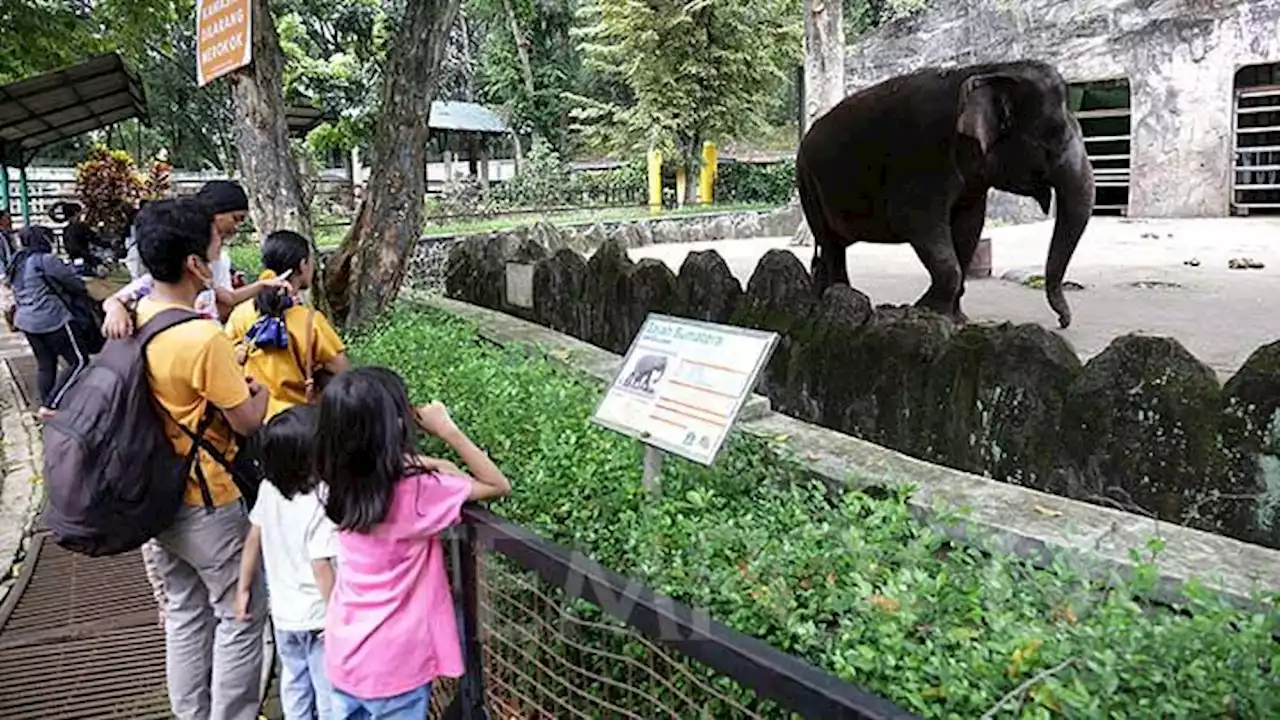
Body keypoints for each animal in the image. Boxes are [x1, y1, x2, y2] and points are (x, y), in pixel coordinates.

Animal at [793, 59, 1095, 327]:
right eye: (1050, 141)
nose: (1063, 321)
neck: (991, 69)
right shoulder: (922, 157)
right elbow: (914, 220)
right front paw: (922, 310)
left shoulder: (971, 182)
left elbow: (969, 227)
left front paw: (956, 319)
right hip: (807, 182)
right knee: (831, 243)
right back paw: (839, 297)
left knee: (831, 246)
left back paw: (824, 296)